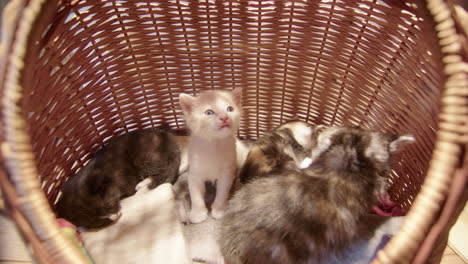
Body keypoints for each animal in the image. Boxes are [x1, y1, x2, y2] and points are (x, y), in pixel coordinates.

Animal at [179, 87, 243, 224]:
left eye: (230, 109)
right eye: (209, 112)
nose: (224, 117)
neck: (214, 144)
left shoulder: (227, 173)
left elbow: (222, 192)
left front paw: (219, 210)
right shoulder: (194, 173)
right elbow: (195, 194)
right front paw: (197, 214)